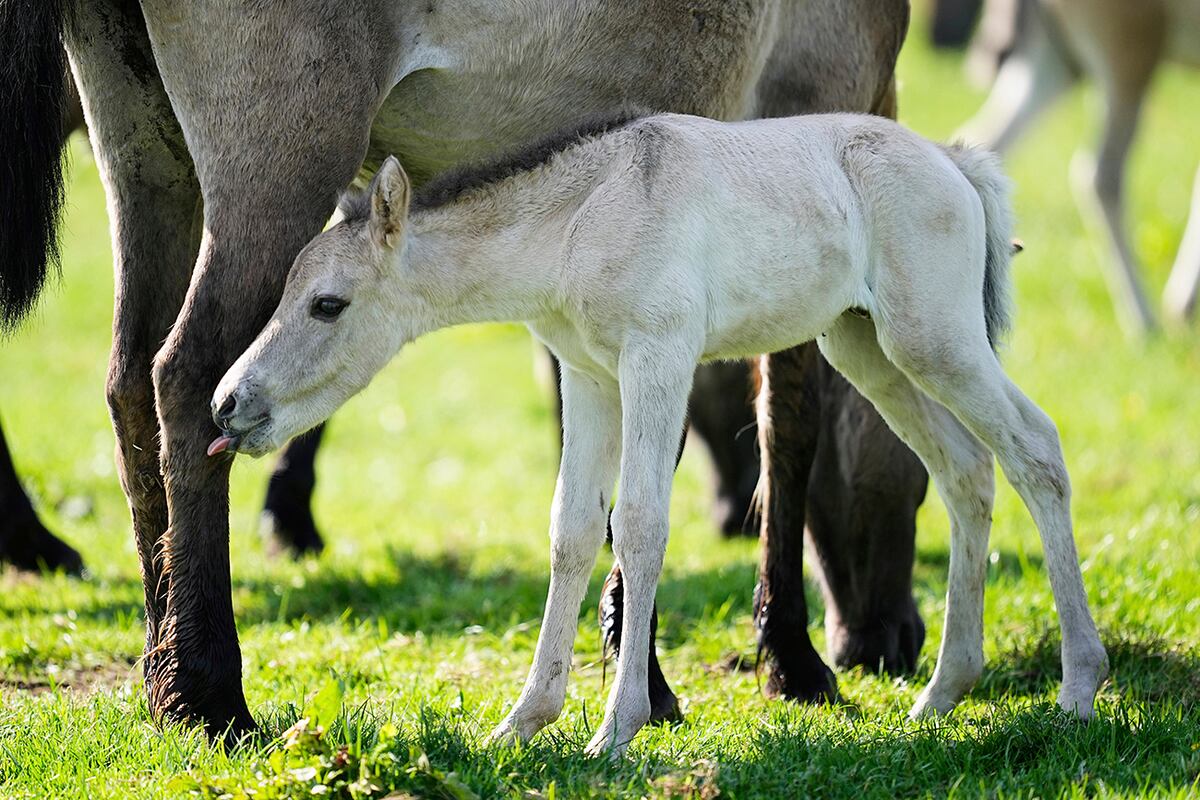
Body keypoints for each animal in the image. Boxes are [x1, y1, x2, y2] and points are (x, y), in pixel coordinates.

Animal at [1, 0, 923, 736]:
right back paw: (207, 694)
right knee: (188, 379)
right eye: (916, 484)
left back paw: (159, 669)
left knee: (130, 385)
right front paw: (791, 659)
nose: (896, 640)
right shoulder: (818, 96)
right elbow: (787, 420)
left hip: (147, 152)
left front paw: (641, 669)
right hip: (279, 160)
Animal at [211, 113, 1109, 757]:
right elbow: (572, 529)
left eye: (328, 304)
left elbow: (639, 524)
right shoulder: (587, 376)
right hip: (866, 347)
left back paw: (1078, 687)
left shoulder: (658, 358)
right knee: (965, 471)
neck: (580, 223)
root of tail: (956, 162)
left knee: (1035, 450)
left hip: (935, 338)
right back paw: (943, 692)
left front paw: (617, 728)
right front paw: (525, 719)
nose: (227, 405)